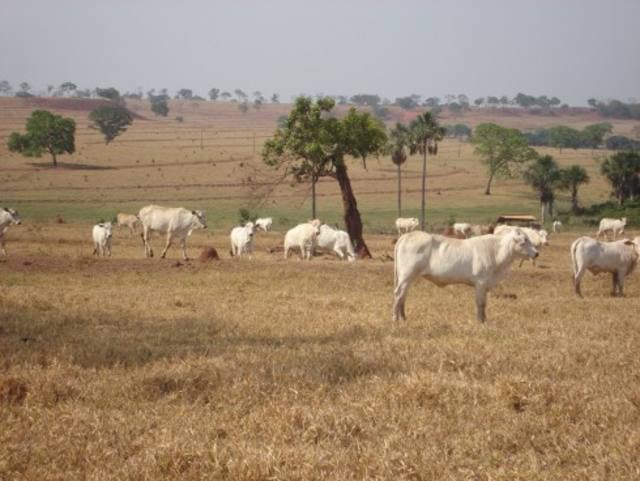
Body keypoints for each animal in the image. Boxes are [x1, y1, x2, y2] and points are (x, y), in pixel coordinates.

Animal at [392, 229, 536, 322]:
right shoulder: (481, 282)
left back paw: (404, 319)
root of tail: (408, 235)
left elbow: (483, 303)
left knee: (403, 296)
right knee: (398, 295)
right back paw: (395, 320)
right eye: (524, 241)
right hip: (406, 275)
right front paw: (481, 322)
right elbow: (481, 303)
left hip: (408, 277)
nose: (536, 253)